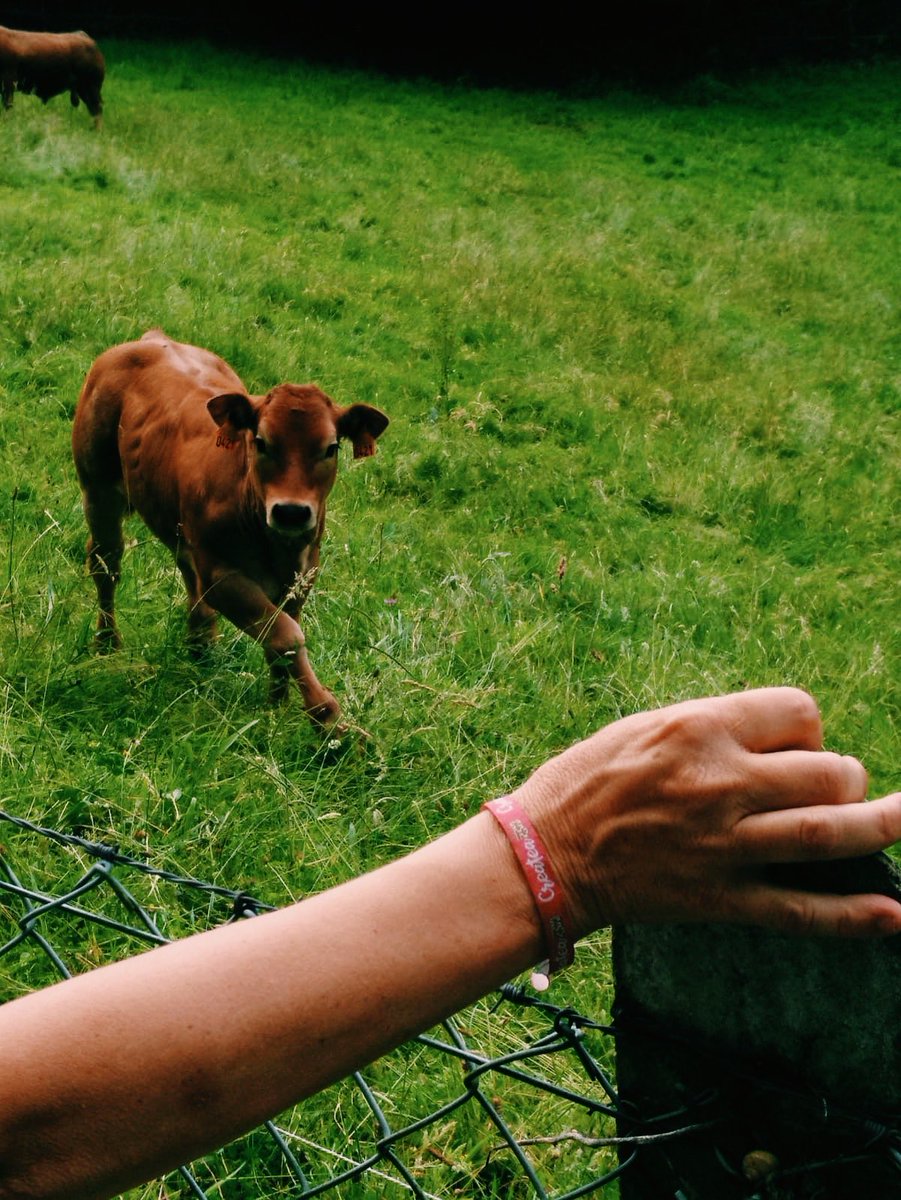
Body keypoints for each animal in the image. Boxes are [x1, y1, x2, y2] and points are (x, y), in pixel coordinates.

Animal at [72, 330, 389, 730]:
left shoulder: (303, 575)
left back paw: (200, 644)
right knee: (106, 565)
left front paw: (276, 705)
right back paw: (107, 643)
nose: (291, 512)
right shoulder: (223, 577)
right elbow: (286, 635)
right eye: (261, 442)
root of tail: (152, 338)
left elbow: (282, 637)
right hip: (98, 489)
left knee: (187, 574)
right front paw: (328, 717)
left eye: (330, 448)